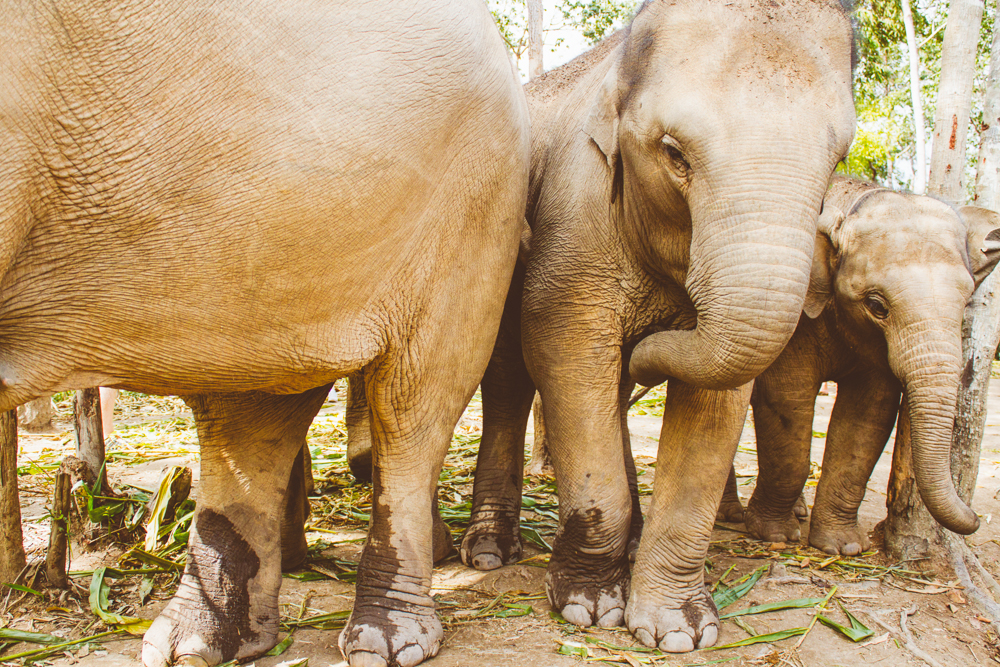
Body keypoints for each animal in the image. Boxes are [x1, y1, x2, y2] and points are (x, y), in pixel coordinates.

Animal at [460, 0, 860, 656]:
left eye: (838, 160)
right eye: (675, 153)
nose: (646, 345)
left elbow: (718, 398)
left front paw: (679, 630)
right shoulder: (574, 218)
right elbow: (563, 350)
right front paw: (589, 607)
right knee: (508, 381)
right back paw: (491, 551)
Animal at [716, 179, 1000, 560]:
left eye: (967, 301)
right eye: (877, 305)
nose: (977, 519)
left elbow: (869, 413)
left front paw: (843, 547)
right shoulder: (790, 317)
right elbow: (787, 399)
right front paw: (774, 535)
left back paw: (797, 511)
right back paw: (732, 515)